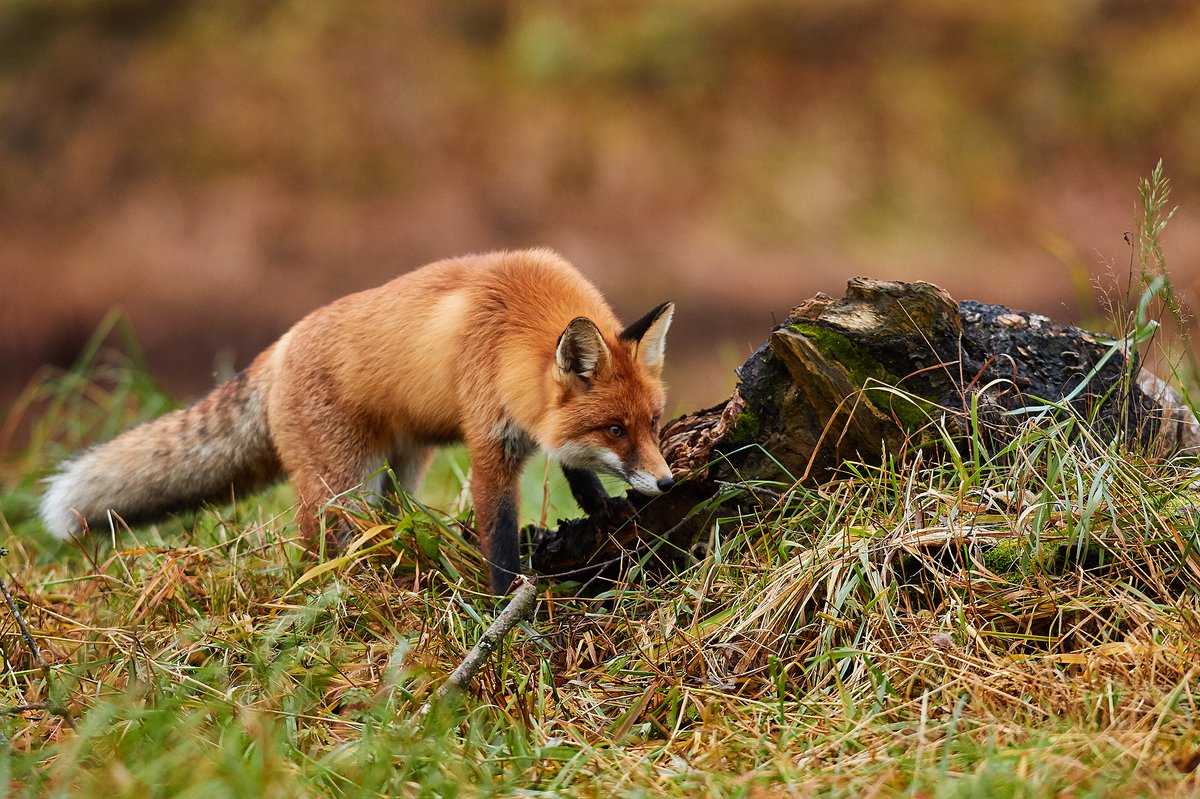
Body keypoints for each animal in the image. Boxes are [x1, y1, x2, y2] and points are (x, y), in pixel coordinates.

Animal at [39, 249, 676, 590]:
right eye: (614, 429)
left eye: (651, 422)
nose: (668, 481)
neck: (515, 319)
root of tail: (280, 346)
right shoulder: (489, 446)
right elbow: (498, 543)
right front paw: (506, 613)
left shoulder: (536, 426)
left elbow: (578, 472)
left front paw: (608, 512)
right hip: (339, 489)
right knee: (315, 549)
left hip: (396, 476)